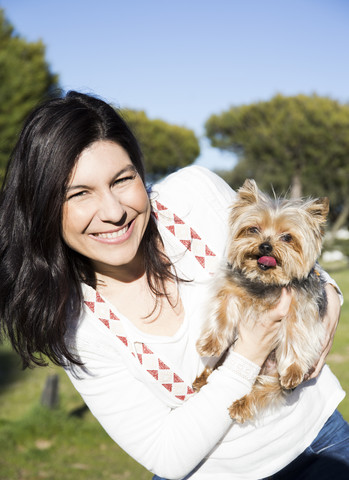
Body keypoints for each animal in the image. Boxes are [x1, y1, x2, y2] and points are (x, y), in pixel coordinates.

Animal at [194, 179, 328, 424]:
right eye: (253, 229)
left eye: (287, 237)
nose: (265, 246)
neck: (265, 282)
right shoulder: (230, 289)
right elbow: (222, 312)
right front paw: (210, 343)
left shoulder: (301, 304)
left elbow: (296, 330)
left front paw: (293, 370)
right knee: (220, 366)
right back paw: (202, 379)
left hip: (273, 377)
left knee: (264, 390)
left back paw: (241, 405)